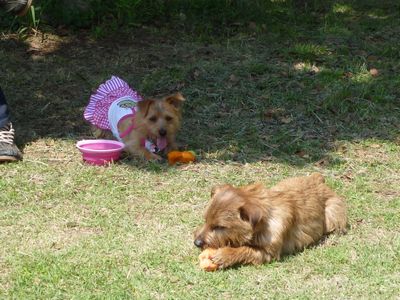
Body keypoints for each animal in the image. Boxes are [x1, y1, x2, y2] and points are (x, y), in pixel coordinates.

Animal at [194, 172, 346, 270]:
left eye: (220, 227)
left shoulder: (268, 253)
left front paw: (225, 255)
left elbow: (246, 249)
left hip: (332, 215)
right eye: (205, 220)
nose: (197, 243)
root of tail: (319, 179)